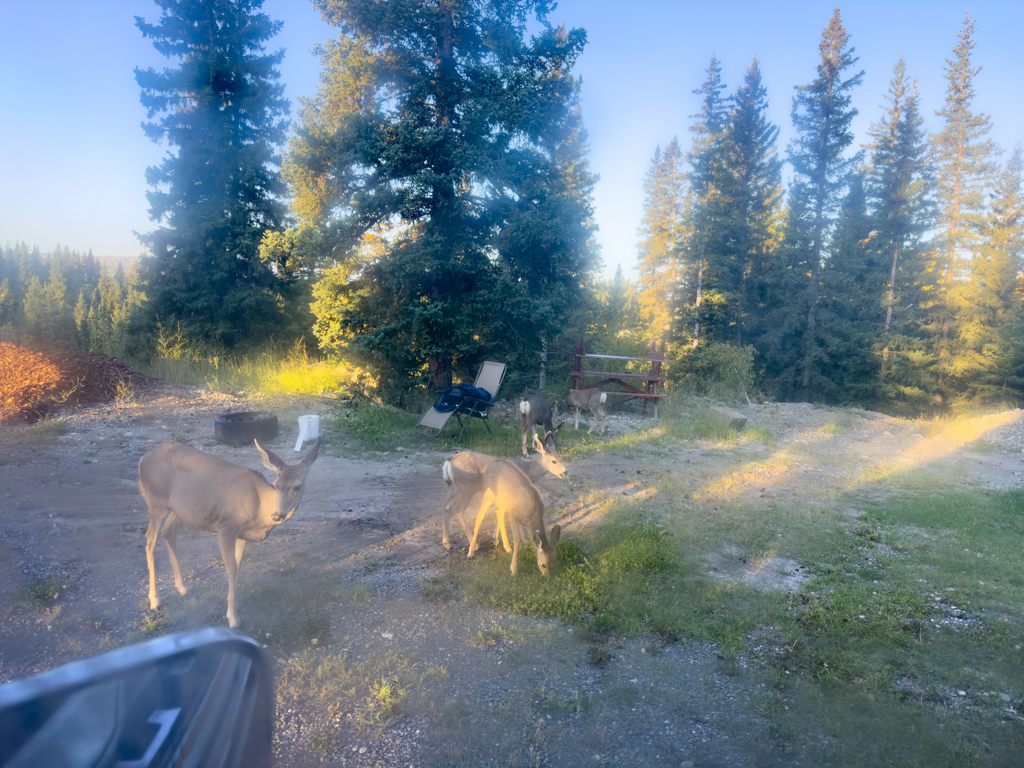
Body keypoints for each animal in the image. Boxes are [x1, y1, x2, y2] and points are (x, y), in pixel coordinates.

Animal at [137, 436, 319, 626]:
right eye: (275, 485)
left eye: (297, 487)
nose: (277, 514)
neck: (260, 507)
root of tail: (144, 458)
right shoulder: (225, 527)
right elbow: (231, 569)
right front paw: (232, 617)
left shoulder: (242, 533)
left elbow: (238, 565)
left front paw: (235, 603)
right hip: (156, 501)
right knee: (150, 539)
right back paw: (154, 599)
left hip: (182, 511)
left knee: (168, 532)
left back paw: (181, 587)